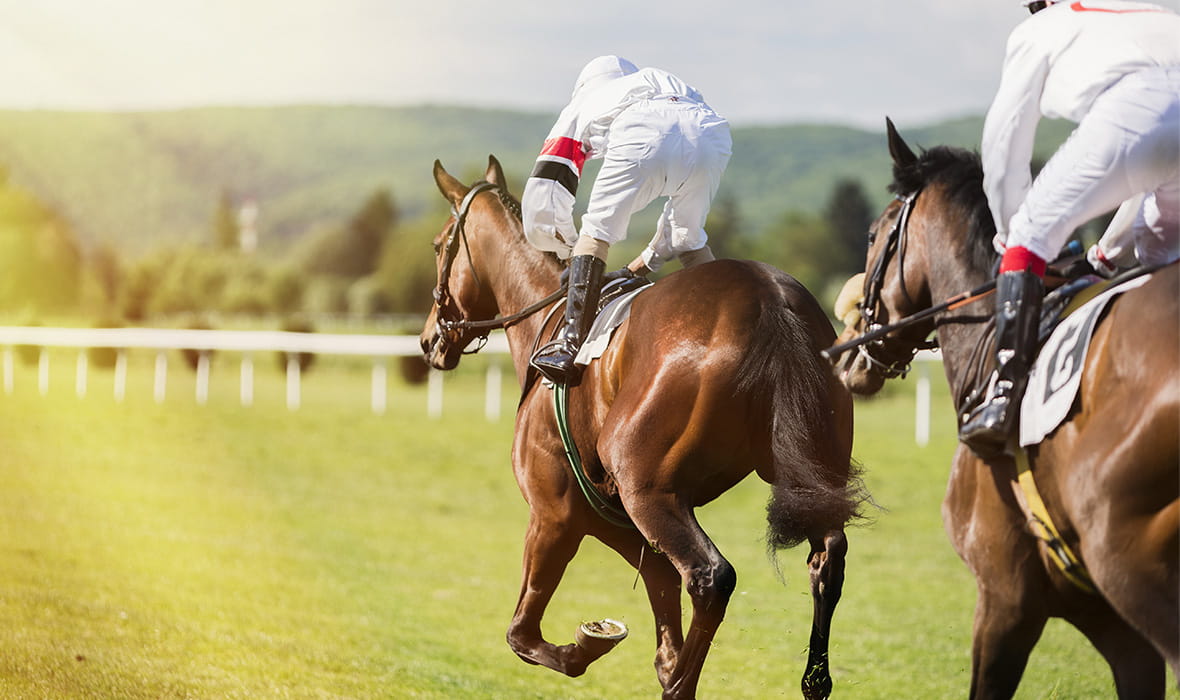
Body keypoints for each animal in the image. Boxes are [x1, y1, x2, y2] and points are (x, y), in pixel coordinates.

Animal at [420, 155, 863, 694]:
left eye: (439, 245)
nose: (428, 340)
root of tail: (770, 302)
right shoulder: (617, 517)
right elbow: (662, 600)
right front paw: (658, 655)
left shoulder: (557, 515)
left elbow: (522, 634)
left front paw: (591, 643)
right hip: (809, 478)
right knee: (827, 560)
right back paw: (813, 680)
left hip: (648, 491)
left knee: (711, 577)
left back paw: (681, 687)